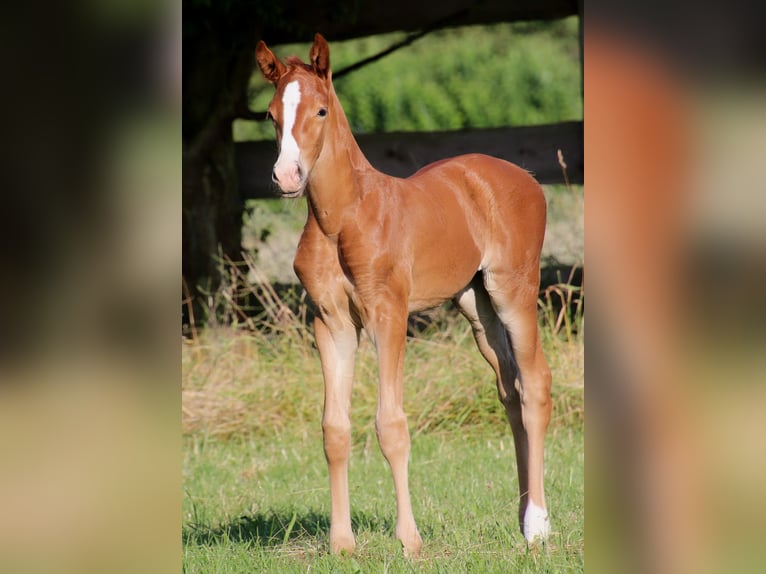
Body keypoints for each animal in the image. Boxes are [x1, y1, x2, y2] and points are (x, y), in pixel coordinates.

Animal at [256, 36, 552, 560]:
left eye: (320, 110)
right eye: (271, 115)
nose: (287, 177)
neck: (342, 218)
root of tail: (526, 176)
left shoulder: (388, 316)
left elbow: (391, 425)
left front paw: (409, 540)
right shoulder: (330, 323)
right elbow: (335, 429)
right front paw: (342, 543)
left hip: (513, 291)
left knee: (535, 383)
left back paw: (537, 526)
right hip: (477, 307)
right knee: (510, 390)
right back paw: (520, 518)